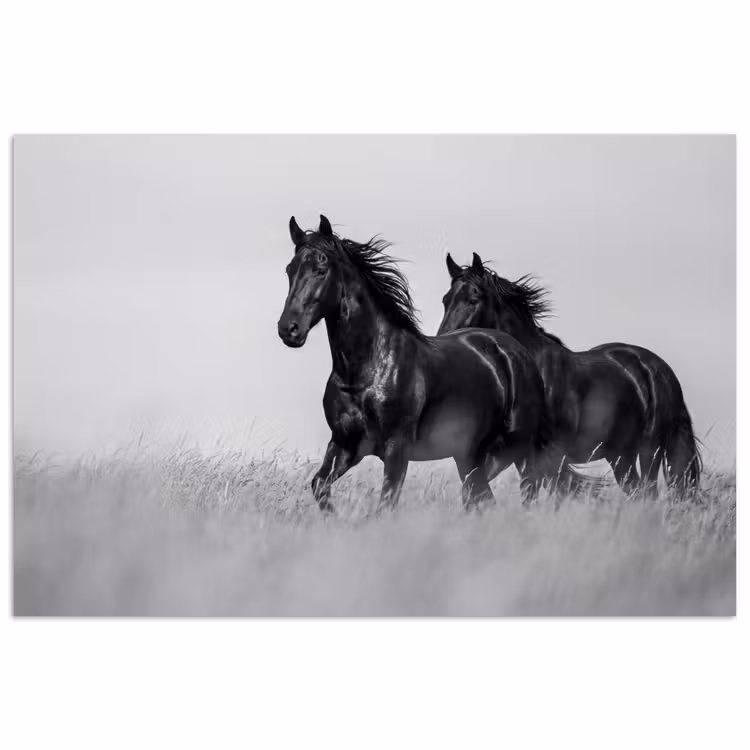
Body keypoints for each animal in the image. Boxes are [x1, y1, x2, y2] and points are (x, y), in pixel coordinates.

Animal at [277, 215, 554, 514]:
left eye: (321, 269)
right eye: (290, 270)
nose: (288, 329)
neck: (365, 371)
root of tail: (517, 351)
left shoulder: (397, 448)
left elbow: (386, 505)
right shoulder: (344, 444)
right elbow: (319, 485)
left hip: (519, 448)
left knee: (526, 492)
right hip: (470, 455)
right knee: (480, 497)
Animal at [437, 252, 702, 497]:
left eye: (474, 298)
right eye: (445, 300)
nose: (445, 342)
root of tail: (659, 369)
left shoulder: (546, 455)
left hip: (649, 451)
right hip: (620, 455)